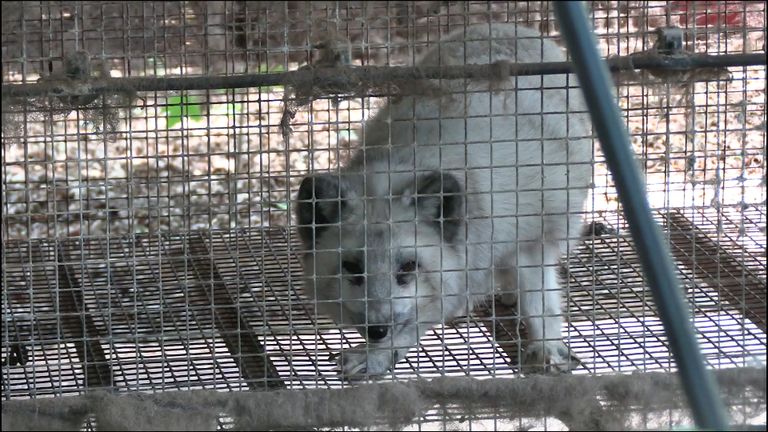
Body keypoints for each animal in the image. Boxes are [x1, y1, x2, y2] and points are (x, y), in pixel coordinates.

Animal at [296, 22, 592, 378]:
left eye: (409, 267)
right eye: (352, 267)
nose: (377, 329)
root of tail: (507, 25)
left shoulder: (528, 242)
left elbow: (541, 304)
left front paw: (546, 347)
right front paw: (378, 354)